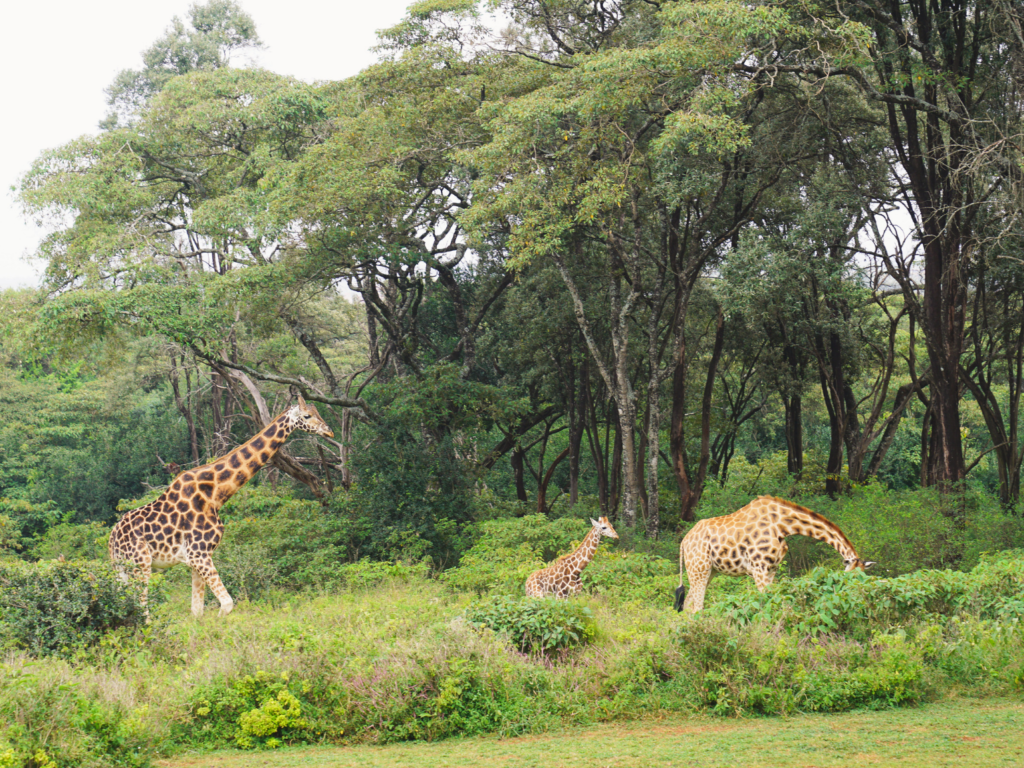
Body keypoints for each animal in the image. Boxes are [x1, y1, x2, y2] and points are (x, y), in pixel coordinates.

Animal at [112, 397, 335, 618]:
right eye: (307, 416)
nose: (329, 432)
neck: (215, 496)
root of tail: (112, 538)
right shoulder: (198, 553)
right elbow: (227, 604)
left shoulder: (196, 558)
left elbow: (197, 611)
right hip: (141, 563)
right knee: (141, 610)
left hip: (121, 568)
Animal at [675, 495, 876, 618]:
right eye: (848, 576)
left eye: (863, 576)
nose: (855, 597)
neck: (783, 526)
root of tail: (683, 542)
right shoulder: (758, 568)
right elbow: (765, 602)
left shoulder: (771, 569)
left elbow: (773, 600)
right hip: (699, 568)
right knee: (696, 607)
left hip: (709, 571)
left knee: (688, 604)